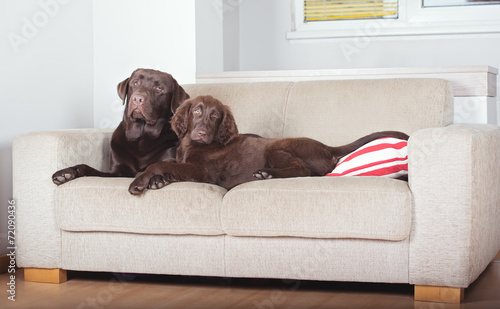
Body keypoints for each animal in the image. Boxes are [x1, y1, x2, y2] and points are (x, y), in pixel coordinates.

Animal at [52, 67, 189, 184]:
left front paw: (155, 177)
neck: (142, 136)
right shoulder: (117, 171)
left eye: (159, 88)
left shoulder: (170, 159)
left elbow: (157, 166)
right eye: (136, 83)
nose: (137, 99)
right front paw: (67, 172)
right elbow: (88, 168)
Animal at [127, 94, 408, 195]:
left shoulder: (204, 172)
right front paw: (157, 181)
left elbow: (158, 164)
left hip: (277, 147)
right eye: (196, 111)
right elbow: (168, 166)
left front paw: (139, 182)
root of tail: (327, 147)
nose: (202, 133)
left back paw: (266, 173)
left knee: (303, 169)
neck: (192, 145)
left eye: (215, 115)